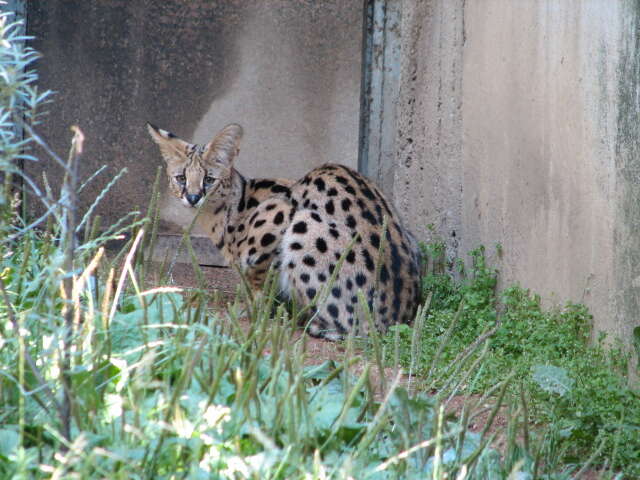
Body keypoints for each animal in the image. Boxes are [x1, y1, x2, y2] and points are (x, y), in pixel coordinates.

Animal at [148, 124, 422, 342]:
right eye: (181, 178)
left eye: (208, 179)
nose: (193, 197)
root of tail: (394, 318)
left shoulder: (275, 215)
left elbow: (256, 276)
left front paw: (250, 308)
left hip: (304, 226)